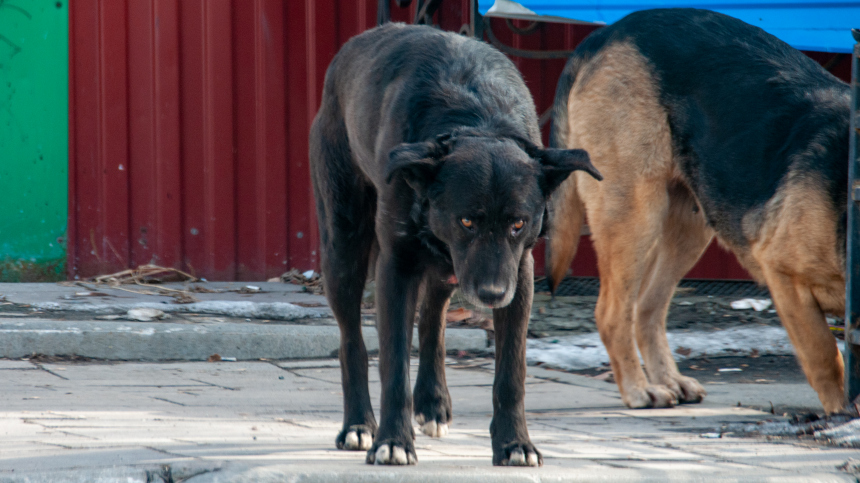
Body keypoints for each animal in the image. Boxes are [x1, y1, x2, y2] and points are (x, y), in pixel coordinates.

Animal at [310, 22, 596, 466]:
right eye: (466, 221)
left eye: (518, 224)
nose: (492, 295)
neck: (477, 119)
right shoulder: (397, 266)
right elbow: (393, 366)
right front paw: (393, 441)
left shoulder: (519, 273)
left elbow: (511, 373)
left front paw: (515, 443)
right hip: (344, 245)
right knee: (351, 341)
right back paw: (358, 424)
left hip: (447, 268)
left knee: (432, 320)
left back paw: (431, 402)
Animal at [548, 9, 848, 414]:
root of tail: (607, 33)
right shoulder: (784, 274)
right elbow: (826, 356)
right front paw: (843, 413)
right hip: (635, 213)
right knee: (613, 313)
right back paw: (639, 390)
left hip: (689, 225)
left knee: (646, 309)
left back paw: (668, 379)